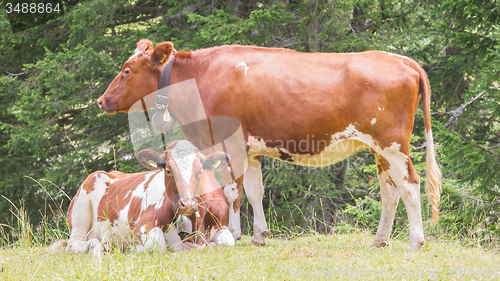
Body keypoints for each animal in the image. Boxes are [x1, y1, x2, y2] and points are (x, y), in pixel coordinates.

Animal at [50, 140, 234, 252]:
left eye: (200, 170)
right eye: (168, 170)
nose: (187, 203)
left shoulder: (221, 223)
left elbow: (227, 241)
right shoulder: (143, 224)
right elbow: (156, 244)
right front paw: (133, 248)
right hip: (83, 205)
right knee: (75, 244)